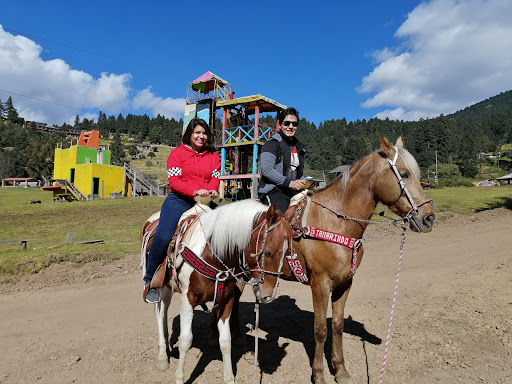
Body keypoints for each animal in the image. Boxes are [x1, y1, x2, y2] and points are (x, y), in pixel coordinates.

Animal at [141, 200, 292, 384]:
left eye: (287, 252)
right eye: (268, 252)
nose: (269, 295)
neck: (213, 254)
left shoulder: (227, 299)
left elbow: (226, 341)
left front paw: (229, 378)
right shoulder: (188, 300)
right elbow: (185, 340)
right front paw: (179, 378)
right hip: (162, 288)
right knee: (160, 312)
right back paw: (163, 356)